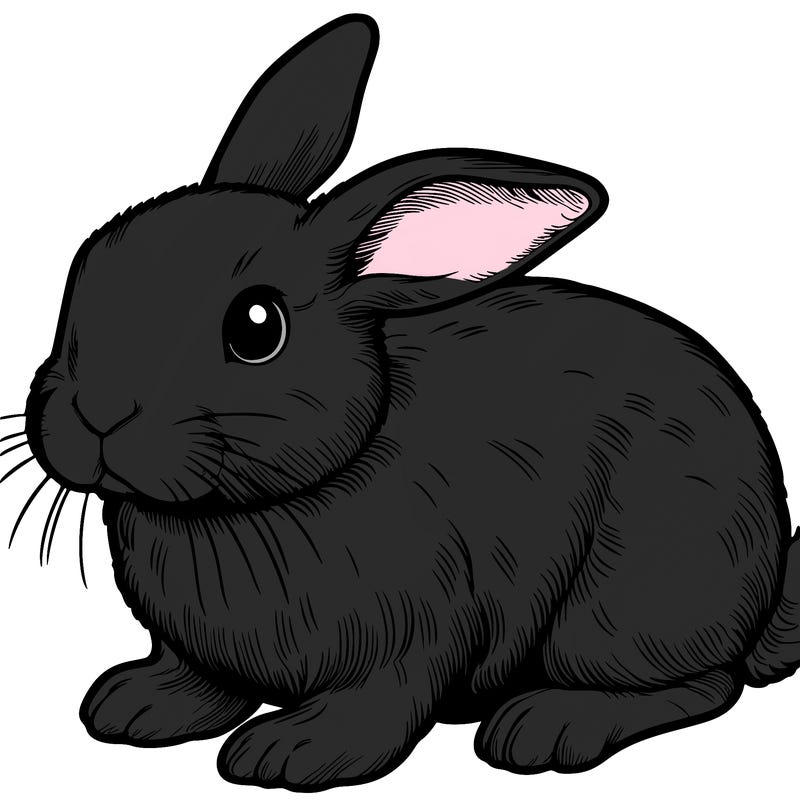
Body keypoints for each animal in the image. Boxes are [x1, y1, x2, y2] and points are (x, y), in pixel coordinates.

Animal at [11, 11, 800, 793]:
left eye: (256, 326)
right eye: (87, 265)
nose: (96, 414)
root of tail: (764, 589)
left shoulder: (415, 631)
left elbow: (381, 702)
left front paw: (291, 752)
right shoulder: (198, 652)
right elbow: (199, 680)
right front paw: (134, 705)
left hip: (625, 604)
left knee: (704, 684)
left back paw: (546, 726)